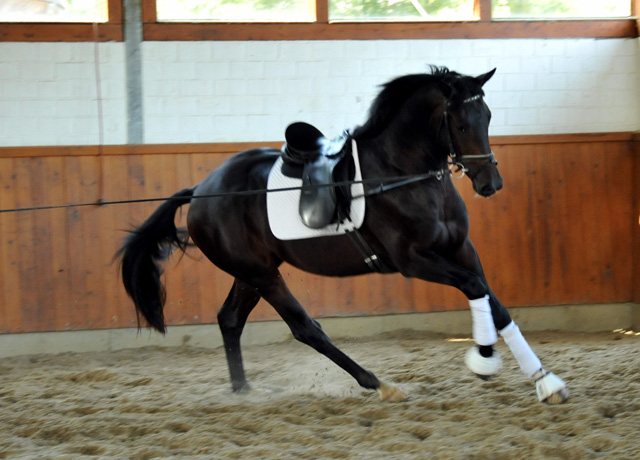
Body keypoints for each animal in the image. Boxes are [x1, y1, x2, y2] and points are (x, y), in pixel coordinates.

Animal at [117, 67, 568, 402]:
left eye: (487, 117)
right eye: (459, 123)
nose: (491, 183)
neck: (404, 172)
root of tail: (201, 190)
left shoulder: (460, 248)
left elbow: (494, 301)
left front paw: (544, 380)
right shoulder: (413, 261)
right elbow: (476, 289)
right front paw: (484, 357)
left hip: (251, 272)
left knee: (230, 320)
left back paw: (243, 391)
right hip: (263, 275)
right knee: (305, 328)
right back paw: (378, 384)